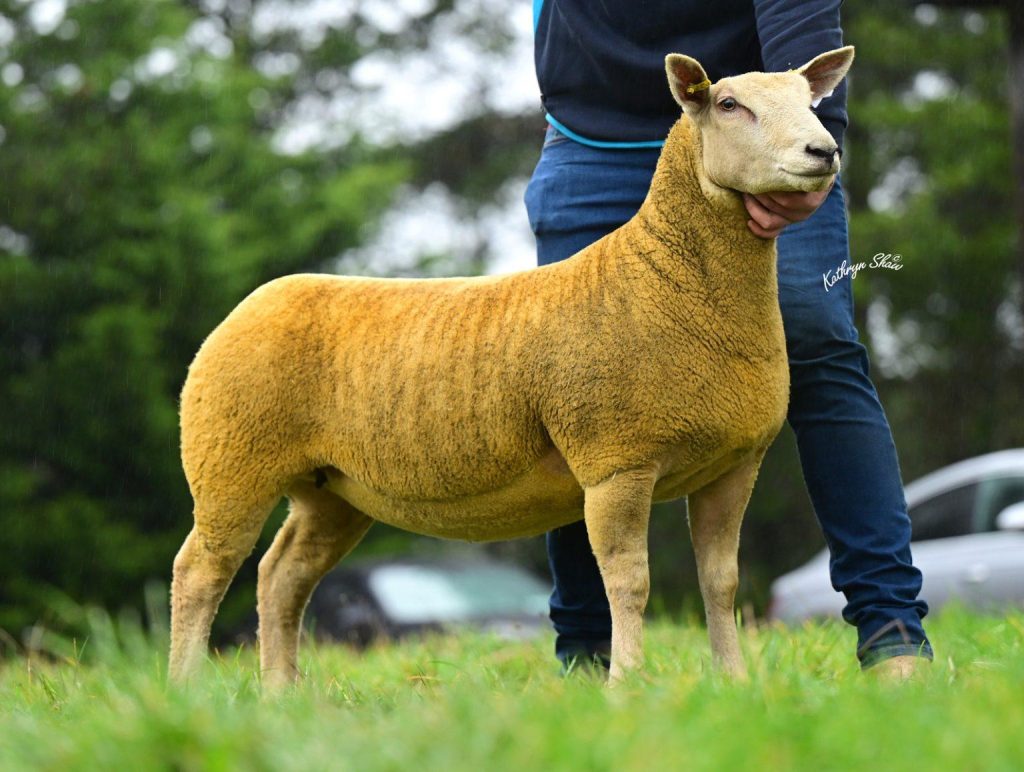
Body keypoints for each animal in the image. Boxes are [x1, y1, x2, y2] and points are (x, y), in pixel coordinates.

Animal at [170, 46, 855, 689]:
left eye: (809, 100)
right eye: (729, 105)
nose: (823, 151)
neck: (665, 278)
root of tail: (256, 300)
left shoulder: (734, 463)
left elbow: (720, 582)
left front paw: (734, 684)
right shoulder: (616, 461)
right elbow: (629, 583)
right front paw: (626, 686)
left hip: (329, 488)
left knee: (280, 575)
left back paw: (280, 694)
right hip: (231, 458)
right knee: (199, 571)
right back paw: (187, 692)